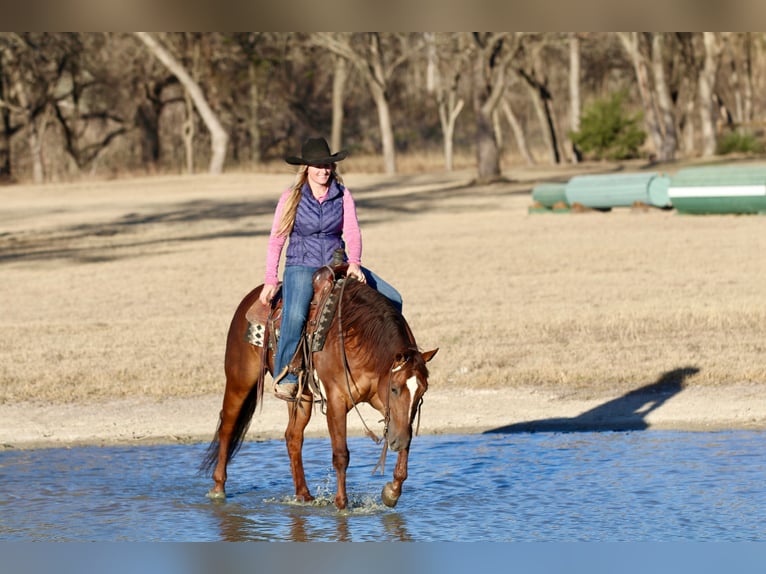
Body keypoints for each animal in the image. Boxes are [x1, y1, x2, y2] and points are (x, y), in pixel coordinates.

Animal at [200, 269, 438, 510]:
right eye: (395, 389)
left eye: (422, 393)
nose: (398, 441)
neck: (359, 338)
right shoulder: (336, 400)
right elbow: (341, 454)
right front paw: (341, 505)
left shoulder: (384, 404)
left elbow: (404, 439)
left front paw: (391, 491)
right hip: (240, 379)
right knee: (228, 426)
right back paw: (218, 488)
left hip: (300, 396)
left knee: (293, 436)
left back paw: (303, 494)